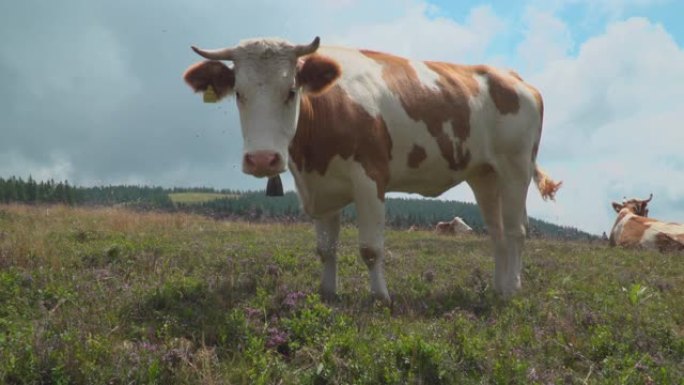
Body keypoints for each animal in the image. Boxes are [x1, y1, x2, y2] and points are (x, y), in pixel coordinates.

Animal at [183, 36, 560, 300]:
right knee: (497, 233)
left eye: (290, 90)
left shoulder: (370, 178)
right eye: (239, 93)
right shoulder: (321, 187)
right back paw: (498, 286)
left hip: (515, 167)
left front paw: (380, 296)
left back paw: (511, 290)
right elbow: (325, 249)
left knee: (517, 230)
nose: (263, 159)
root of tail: (513, 77)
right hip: (485, 174)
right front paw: (328, 292)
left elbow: (370, 248)